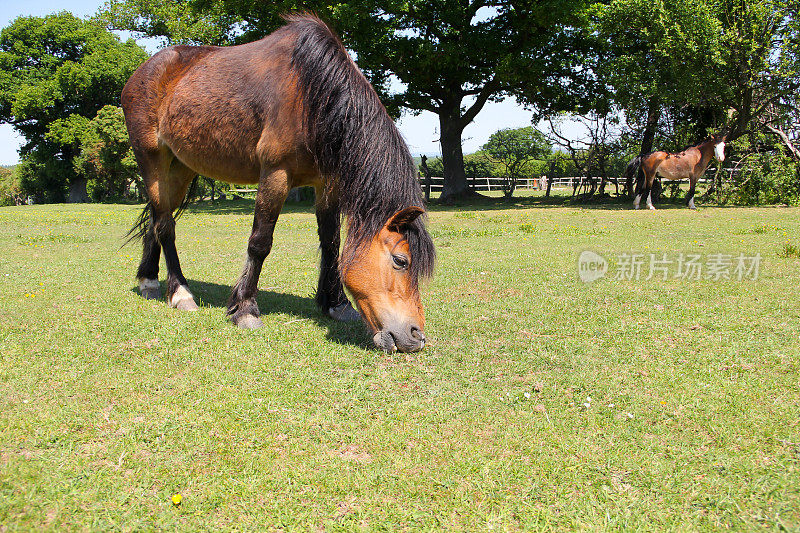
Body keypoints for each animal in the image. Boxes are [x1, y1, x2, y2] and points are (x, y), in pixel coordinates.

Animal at [122, 14, 438, 352]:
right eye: (401, 261)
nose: (415, 336)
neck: (313, 94)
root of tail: (144, 71)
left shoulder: (327, 184)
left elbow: (332, 243)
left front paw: (336, 304)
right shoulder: (275, 174)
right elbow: (260, 243)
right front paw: (245, 308)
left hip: (181, 168)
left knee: (157, 218)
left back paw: (149, 281)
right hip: (152, 159)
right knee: (166, 226)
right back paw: (180, 292)